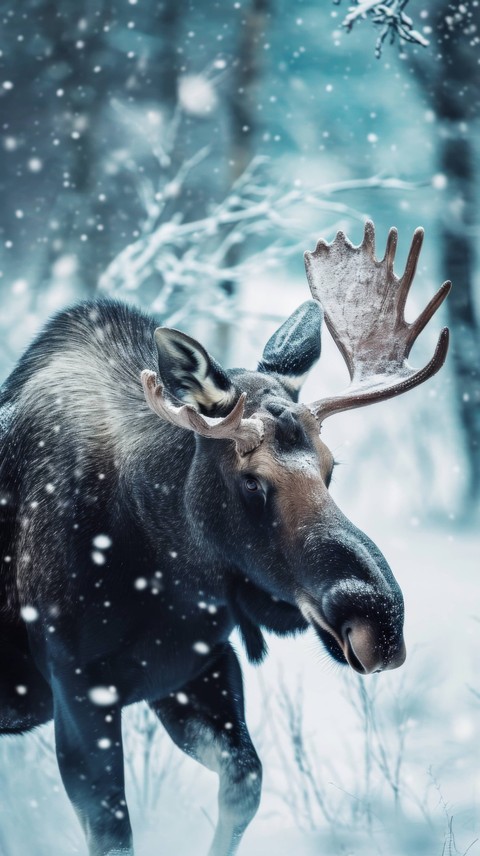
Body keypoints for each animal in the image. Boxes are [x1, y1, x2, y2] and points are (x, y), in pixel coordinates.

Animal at [0, 221, 450, 856]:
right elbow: (113, 831)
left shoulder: (198, 668)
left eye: (331, 467)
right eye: (251, 480)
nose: (379, 618)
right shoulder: (79, 691)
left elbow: (246, 780)